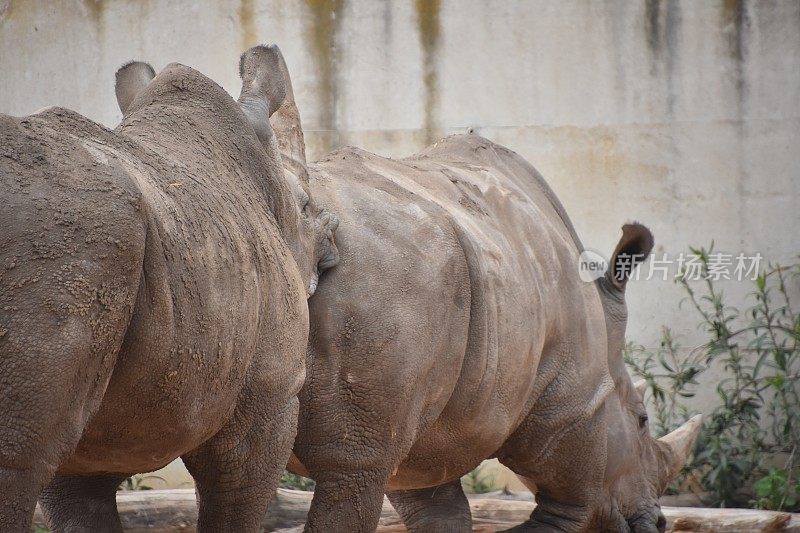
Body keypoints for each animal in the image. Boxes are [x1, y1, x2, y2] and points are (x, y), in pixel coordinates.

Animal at [0, 45, 338, 532]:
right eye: (307, 206)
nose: (333, 243)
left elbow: (80, 504)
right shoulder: (268, 399)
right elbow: (236, 499)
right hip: (55, 235)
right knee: (18, 463)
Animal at [268, 54, 700, 528]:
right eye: (641, 420)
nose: (659, 523)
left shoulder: (423, 441)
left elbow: (441, 512)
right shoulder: (576, 405)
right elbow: (570, 510)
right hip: (379, 285)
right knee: (348, 473)